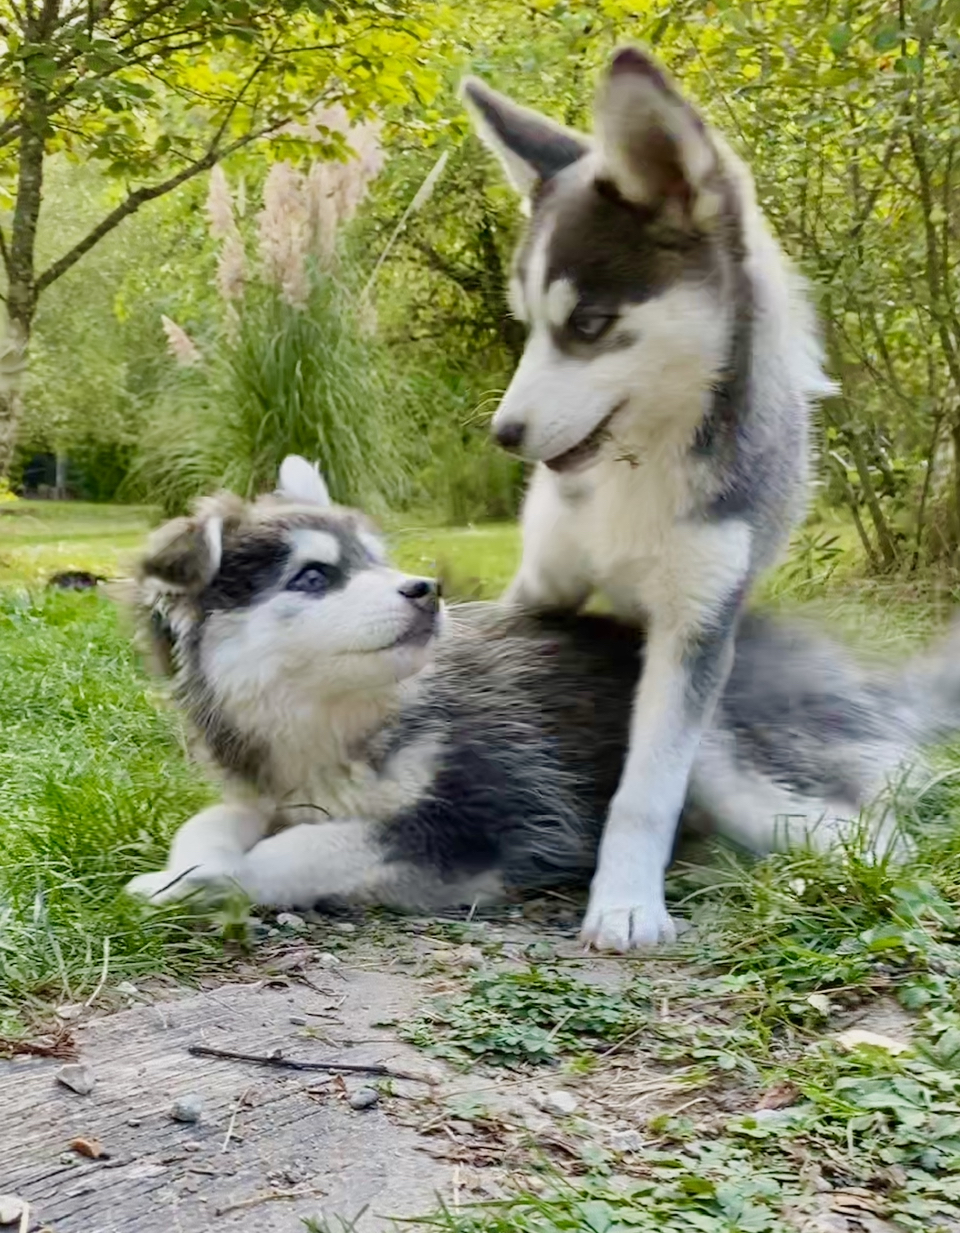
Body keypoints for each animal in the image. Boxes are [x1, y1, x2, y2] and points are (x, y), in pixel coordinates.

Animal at [127, 458, 960, 912]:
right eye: (312, 576)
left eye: (378, 561)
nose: (425, 590)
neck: (339, 722)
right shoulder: (272, 792)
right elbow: (211, 823)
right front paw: (180, 872)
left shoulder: (479, 825)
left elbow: (297, 852)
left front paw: (217, 881)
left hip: (721, 752)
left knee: (872, 837)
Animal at [463, 48, 833, 946]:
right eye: (526, 323)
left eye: (590, 324)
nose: (505, 434)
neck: (642, 468)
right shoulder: (542, 584)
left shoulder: (697, 626)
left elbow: (650, 784)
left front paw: (627, 900)